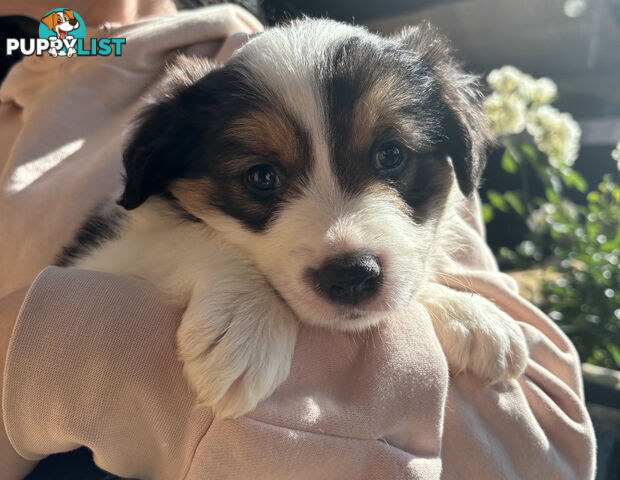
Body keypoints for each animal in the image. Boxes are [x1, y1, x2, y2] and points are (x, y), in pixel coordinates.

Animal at [57, 18, 528, 418]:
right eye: (262, 176)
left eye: (391, 154)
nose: (351, 276)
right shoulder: (95, 253)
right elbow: (182, 235)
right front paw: (248, 322)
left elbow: (413, 274)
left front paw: (469, 313)